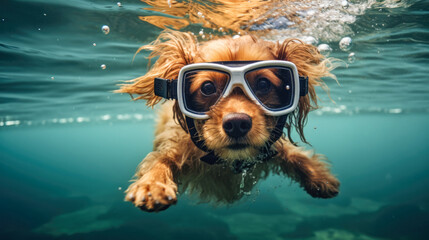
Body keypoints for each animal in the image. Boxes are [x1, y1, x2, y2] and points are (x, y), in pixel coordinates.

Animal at [115, 30, 340, 212]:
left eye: (263, 84)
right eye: (207, 88)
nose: (237, 124)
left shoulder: (272, 144)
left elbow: (296, 155)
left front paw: (319, 177)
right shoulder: (177, 145)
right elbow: (162, 159)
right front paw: (153, 184)